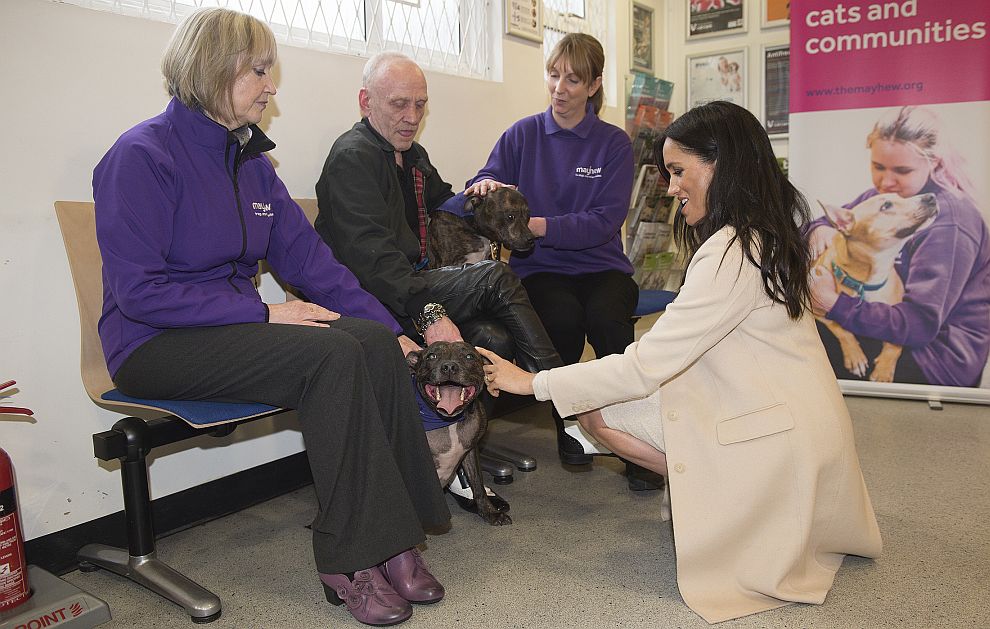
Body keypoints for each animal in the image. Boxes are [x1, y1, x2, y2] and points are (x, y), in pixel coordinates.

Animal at [406, 340, 512, 524]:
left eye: (469, 356)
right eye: (432, 356)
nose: (449, 366)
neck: (448, 422)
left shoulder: (470, 452)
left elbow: (478, 485)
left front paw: (490, 512)